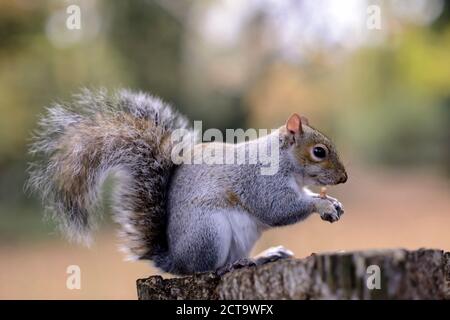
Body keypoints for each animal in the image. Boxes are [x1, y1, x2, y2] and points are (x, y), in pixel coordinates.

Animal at [28, 88, 348, 276]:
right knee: (204, 270)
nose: (344, 178)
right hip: (209, 232)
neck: (284, 161)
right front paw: (322, 206)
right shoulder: (260, 181)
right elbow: (278, 208)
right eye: (319, 152)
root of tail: (177, 261)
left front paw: (332, 201)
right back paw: (230, 265)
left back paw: (261, 257)